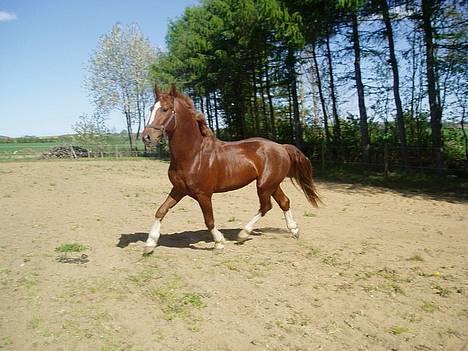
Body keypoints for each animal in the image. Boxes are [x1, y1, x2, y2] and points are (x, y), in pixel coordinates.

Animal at [141, 85, 320, 256]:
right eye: (151, 108)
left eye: (165, 109)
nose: (146, 137)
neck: (193, 154)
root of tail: (281, 147)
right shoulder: (179, 190)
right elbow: (161, 211)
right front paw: (149, 245)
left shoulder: (204, 195)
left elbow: (209, 220)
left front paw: (219, 243)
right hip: (272, 184)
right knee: (284, 202)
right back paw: (294, 230)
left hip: (264, 185)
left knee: (266, 206)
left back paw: (243, 234)